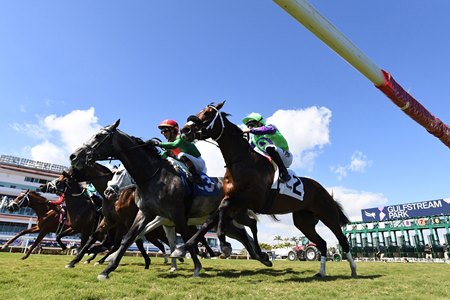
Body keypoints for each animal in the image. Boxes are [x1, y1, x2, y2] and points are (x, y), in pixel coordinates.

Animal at [67, 120, 270, 278]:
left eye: (98, 136)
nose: (74, 155)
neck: (152, 176)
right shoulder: (145, 213)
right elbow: (128, 239)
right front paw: (107, 269)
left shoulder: (176, 214)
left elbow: (186, 239)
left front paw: (195, 266)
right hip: (228, 220)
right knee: (241, 233)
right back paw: (260, 257)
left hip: (232, 213)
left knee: (248, 225)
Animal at [178, 102, 356, 278]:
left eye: (208, 113)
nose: (185, 129)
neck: (242, 161)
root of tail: (324, 191)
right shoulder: (233, 200)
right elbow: (211, 220)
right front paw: (184, 247)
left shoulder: (250, 198)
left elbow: (225, 211)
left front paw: (224, 244)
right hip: (303, 222)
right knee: (322, 243)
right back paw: (321, 272)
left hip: (328, 215)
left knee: (342, 240)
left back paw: (353, 270)